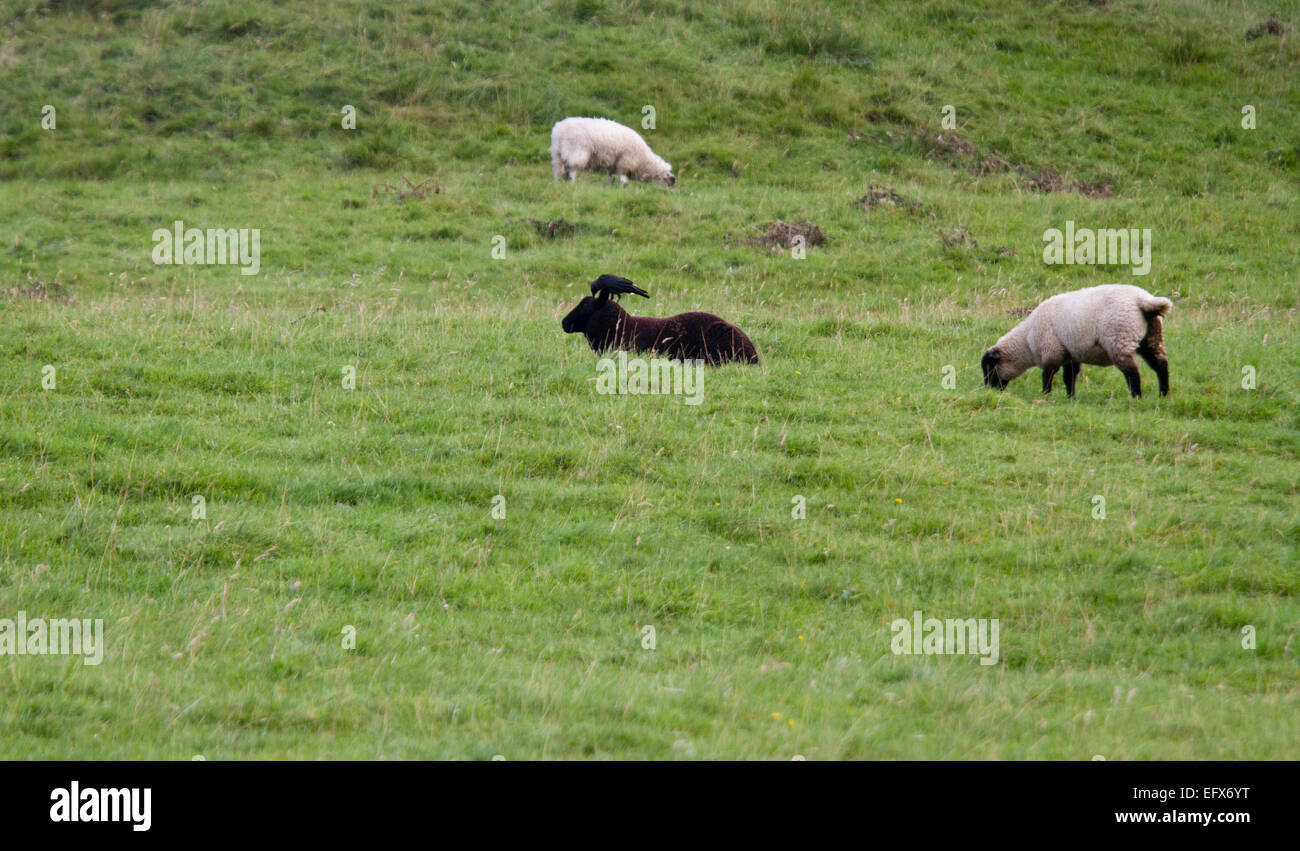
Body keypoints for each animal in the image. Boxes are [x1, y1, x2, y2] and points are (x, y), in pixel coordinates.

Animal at [548, 116, 676, 187]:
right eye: (668, 180)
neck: (644, 161)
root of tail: (559, 129)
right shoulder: (625, 162)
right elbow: (623, 179)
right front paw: (623, 187)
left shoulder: (613, 164)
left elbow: (611, 177)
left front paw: (609, 187)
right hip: (576, 150)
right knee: (572, 168)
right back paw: (572, 182)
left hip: (557, 154)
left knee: (559, 170)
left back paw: (560, 183)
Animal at [977, 283, 1175, 394]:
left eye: (989, 368)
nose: (989, 390)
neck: (1027, 340)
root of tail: (1143, 300)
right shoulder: (1070, 354)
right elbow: (1069, 377)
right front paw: (1070, 397)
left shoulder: (1051, 351)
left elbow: (1048, 375)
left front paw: (1045, 395)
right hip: (1151, 336)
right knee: (1161, 365)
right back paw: (1163, 394)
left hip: (1119, 339)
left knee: (1132, 372)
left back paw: (1136, 396)